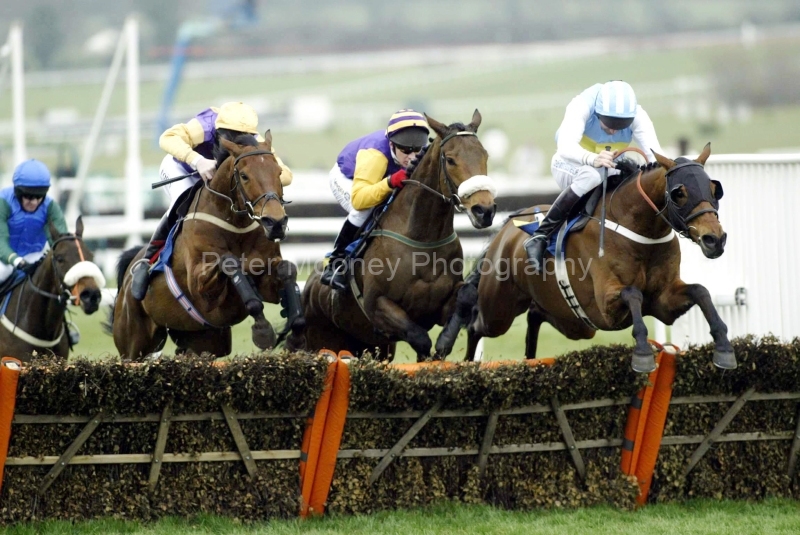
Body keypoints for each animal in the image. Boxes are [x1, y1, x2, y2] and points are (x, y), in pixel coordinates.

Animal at [288, 110, 497, 361]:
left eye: (485, 155)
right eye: (450, 159)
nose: (484, 210)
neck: (423, 241)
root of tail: (308, 288)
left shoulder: (439, 307)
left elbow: (466, 294)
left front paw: (445, 341)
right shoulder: (378, 307)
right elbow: (420, 338)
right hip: (323, 341)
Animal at [436, 144, 736, 373]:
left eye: (714, 189)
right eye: (679, 193)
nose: (715, 239)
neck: (640, 232)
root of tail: (506, 227)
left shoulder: (663, 301)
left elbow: (700, 291)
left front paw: (723, 345)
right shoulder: (606, 304)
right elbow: (633, 294)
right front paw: (642, 352)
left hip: (572, 321)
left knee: (535, 316)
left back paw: (530, 358)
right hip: (498, 308)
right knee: (476, 325)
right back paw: (464, 362)